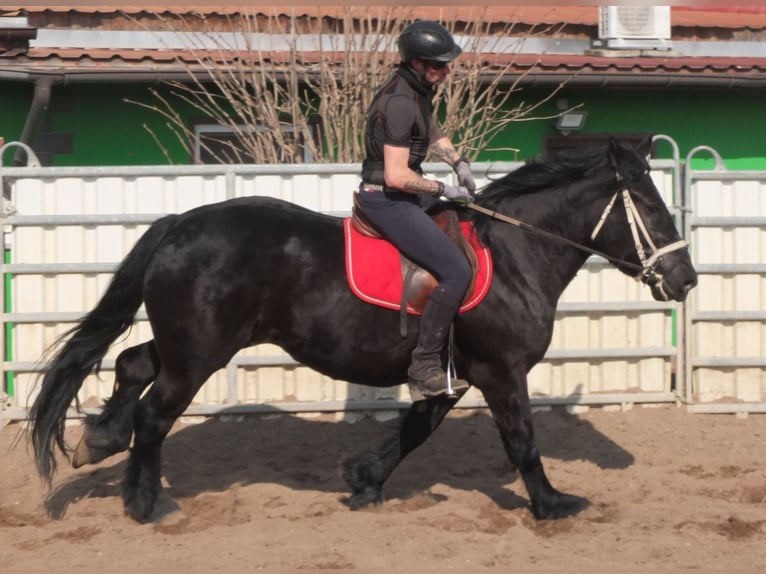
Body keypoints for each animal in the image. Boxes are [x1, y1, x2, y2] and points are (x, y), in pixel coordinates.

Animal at [30, 137, 704, 524]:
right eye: (649, 206)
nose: (686, 279)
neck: (515, 255)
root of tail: (179, 222)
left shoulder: (453, 372)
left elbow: (416, 429)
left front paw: (364, 480)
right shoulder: (500, 371)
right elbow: (522, 441)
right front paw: (552, 504)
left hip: (189, 343)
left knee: (132, 365)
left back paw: (100, 440)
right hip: (200, 354)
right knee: (154, 413)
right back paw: (146, 504)